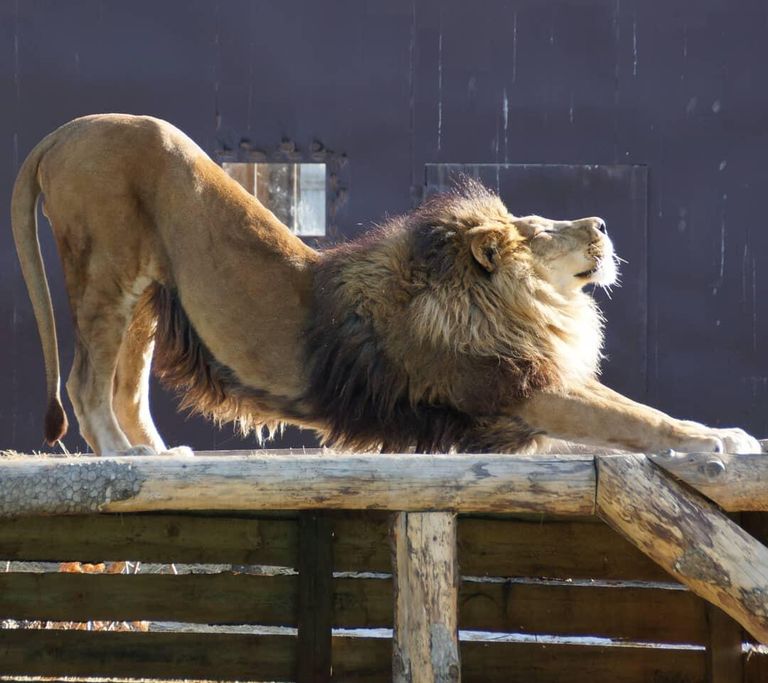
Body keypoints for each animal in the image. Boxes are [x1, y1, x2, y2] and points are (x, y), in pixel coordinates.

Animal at [11, 114, 760, 456]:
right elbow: (634, 417)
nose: (602, 220)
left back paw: (160, 453)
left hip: (146, 295)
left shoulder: (516, 408)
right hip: (107, 266)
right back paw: (123, 456)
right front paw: (719, 442)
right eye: (542, 229)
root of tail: (66, 129)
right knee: (86, 380)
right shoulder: (517, 389)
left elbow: (625, 421)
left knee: (126, 386)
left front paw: (718, 432)